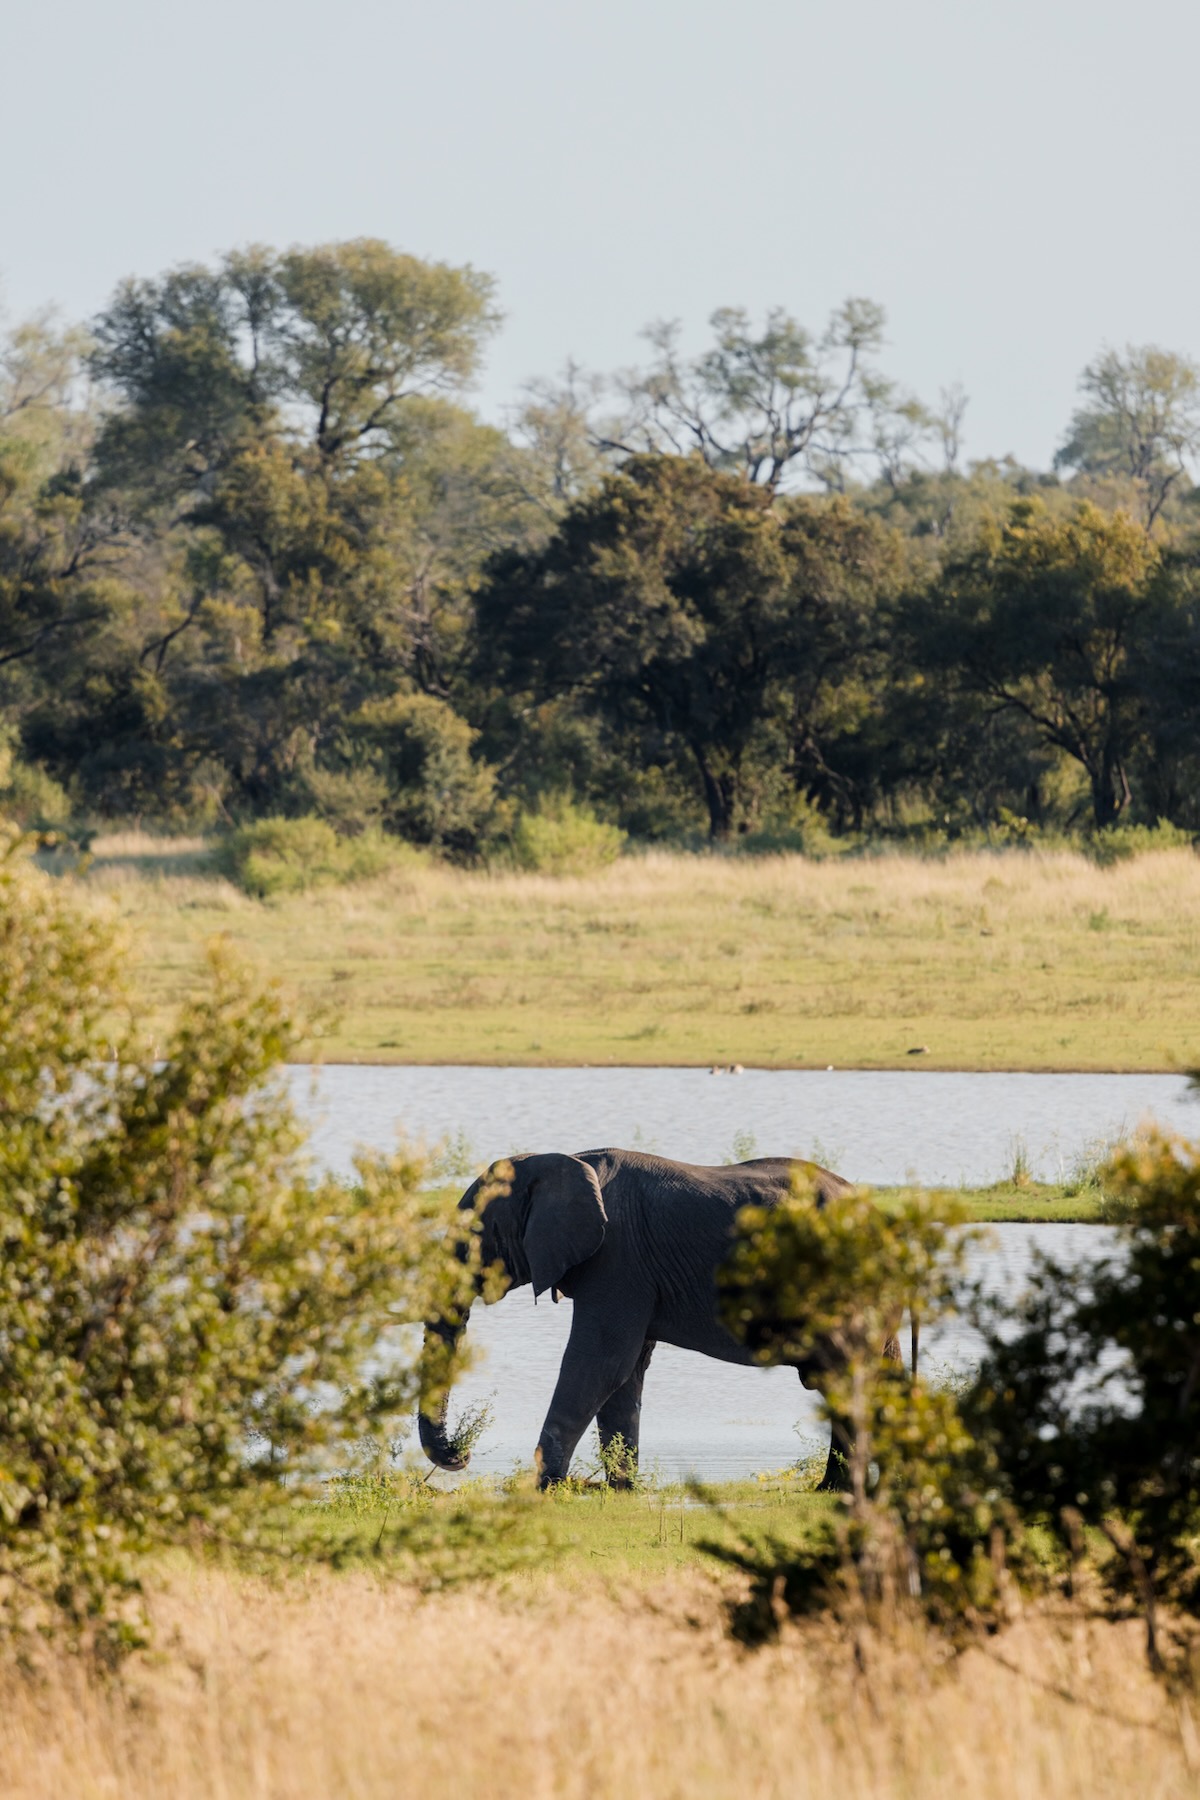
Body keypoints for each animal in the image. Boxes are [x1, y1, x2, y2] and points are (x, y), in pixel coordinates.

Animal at [417, 1152, 888, 1490]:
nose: (462, 1454)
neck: (562, 1160)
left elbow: (601, 1364)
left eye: (477, 1233)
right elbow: (625, 1374)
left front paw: (541, 1489)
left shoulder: (618, 1259)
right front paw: (622, 1489)